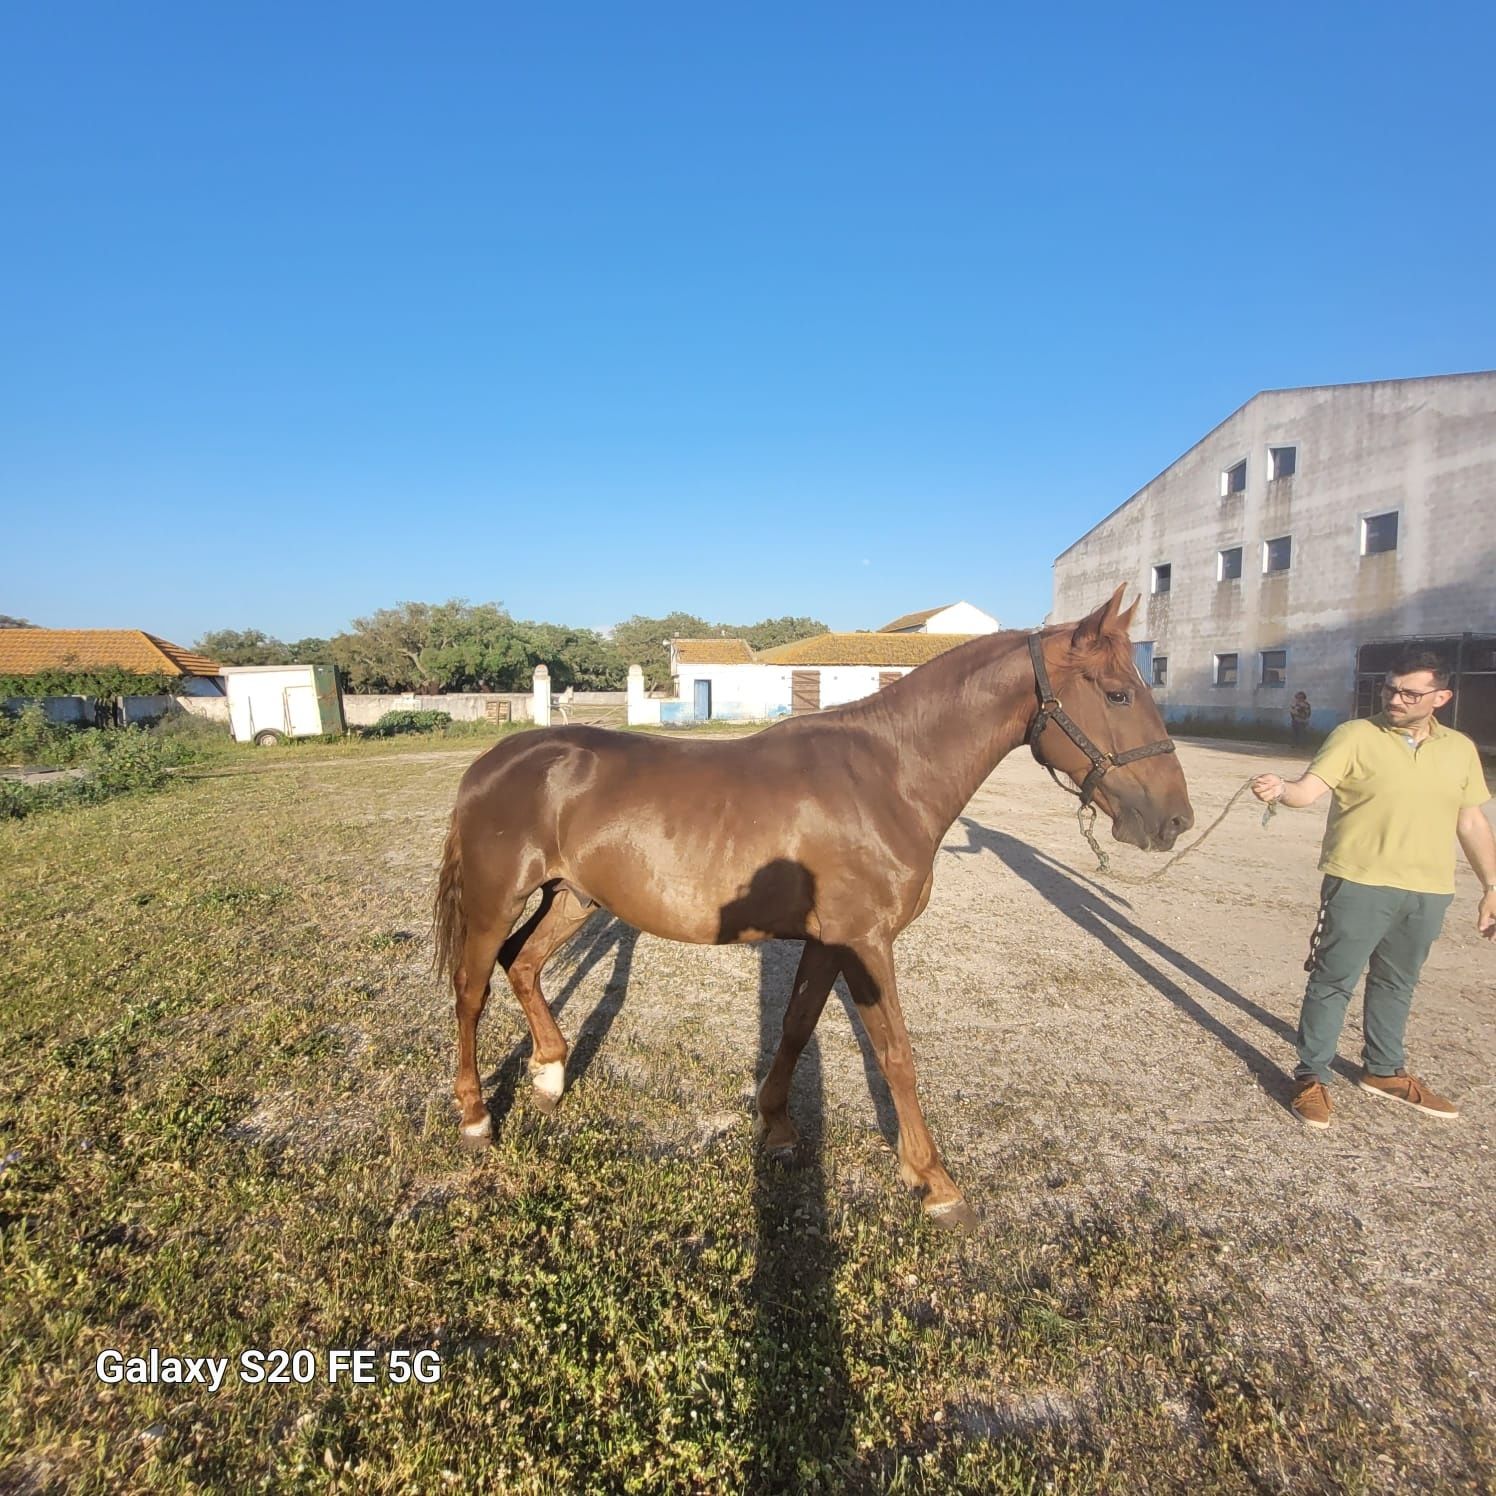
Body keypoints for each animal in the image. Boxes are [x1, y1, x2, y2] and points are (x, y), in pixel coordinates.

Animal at [430, 589, 1190, 1232]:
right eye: (1119, 692)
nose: (1174, 820)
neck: (889, 777)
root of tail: (493, 762)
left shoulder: (830, 943)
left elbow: (796, 1029)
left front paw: (777, 1128)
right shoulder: (867, 943)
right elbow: (895, 1055)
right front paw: (937, 1184)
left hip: (575, 899)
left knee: (523, 965)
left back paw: (550, 1076)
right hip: (497, 900)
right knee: (472, 989)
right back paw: (475, 1118)